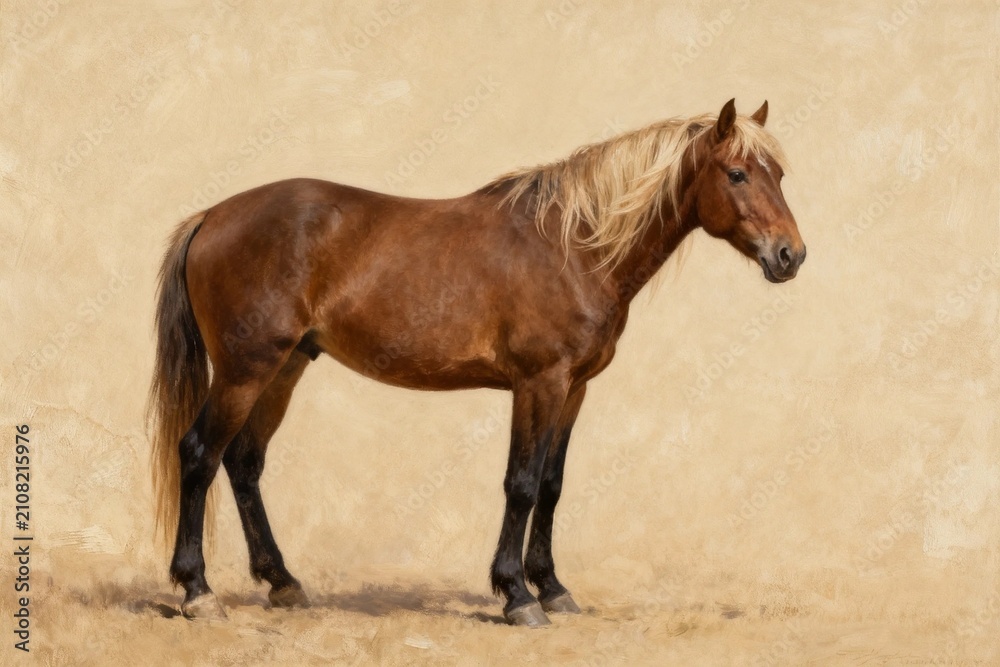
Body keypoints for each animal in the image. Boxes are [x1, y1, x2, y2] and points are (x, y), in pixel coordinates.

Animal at [147, 98, 806, 627]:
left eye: (778, 173)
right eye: (737, 173)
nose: (790, 255)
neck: (573, 246)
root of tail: (211, 216)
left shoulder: (574, 389)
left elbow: (552, 485)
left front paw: (554, 588)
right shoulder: (539, 384)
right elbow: (521, 483)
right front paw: (517, 596)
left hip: (285, 367)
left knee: (244, 462)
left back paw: (283, 583)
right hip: (245, 370)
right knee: (200, 454)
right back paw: (198, 591)